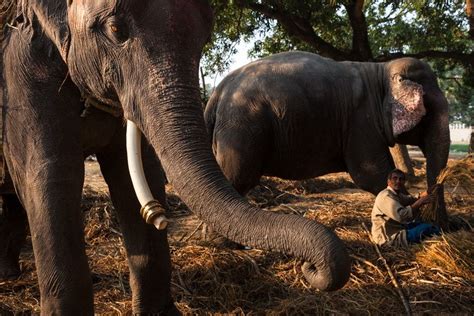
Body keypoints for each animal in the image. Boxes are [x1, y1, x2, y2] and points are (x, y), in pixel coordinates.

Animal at [0, 0, 348, 314]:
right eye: (116, 29)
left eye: (204, 36)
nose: (310, 269)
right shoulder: (22, 71)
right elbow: (51, 176)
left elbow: (135, 176)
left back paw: (9, 275)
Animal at [206, 50, 450, 222]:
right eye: (429, 111)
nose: (444, 227)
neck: (380, 71)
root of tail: (218, 91)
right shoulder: (361, 119)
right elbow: (371, 172)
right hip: (241, 127)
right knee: (237, 178)